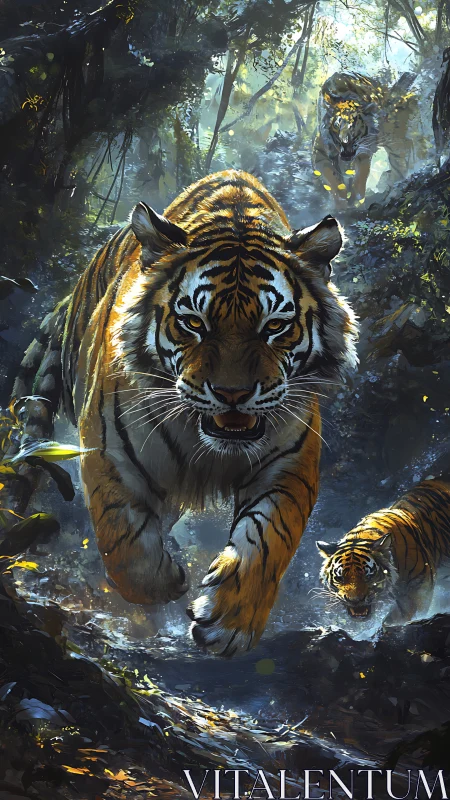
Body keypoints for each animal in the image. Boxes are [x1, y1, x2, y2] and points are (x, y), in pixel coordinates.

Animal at [10, 169, 357, 656]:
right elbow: (124, 545)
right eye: (194, 322)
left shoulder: (290, 463)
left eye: (274, 327)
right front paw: (168, 579)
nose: (233, 394)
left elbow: (269, 539)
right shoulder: (109, 451)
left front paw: (230, 621)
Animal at [312, 71, 419, 209]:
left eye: (354, 127)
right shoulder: (320, 153)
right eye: (336, 126)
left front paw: (357, 201)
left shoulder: (364, 151)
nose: (346, 149)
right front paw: (342, 203)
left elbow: (360, 177)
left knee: (402, 157)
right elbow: (333, 179)